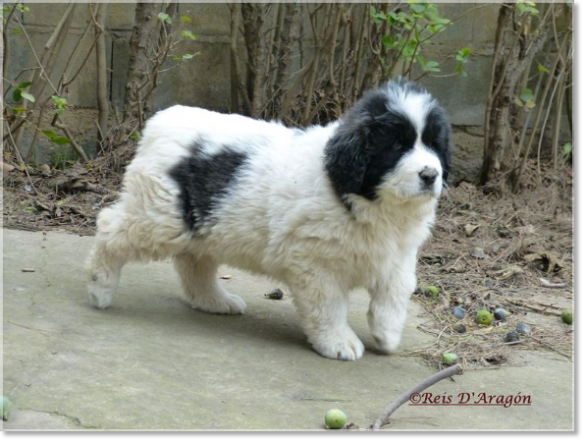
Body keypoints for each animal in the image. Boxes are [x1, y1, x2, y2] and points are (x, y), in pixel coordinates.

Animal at [85, 80, 452, 360]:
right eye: (396, 146)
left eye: (434, 145)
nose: (430, 175)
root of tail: (160, 121)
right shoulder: (315, 264)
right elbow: (329, 306)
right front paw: (338, 342)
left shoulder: (397, 253)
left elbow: (396, 289)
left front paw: (387, 332)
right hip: (162, 216)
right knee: (110, 228)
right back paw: (99, 286)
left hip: (204, 222)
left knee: (193, 262)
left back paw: (214, 301)